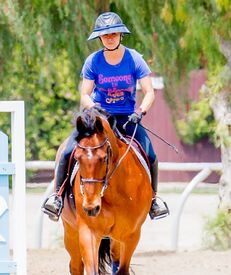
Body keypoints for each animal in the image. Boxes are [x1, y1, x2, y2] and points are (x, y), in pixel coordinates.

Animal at [60, 108, 152, 275]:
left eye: (103, 158)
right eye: (77, 157)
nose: (91, 208)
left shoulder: (131, 235)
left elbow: (122, 269)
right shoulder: (88, 231)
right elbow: (91, 269)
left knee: (115, 257)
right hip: (70, 231)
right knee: (76, 265)